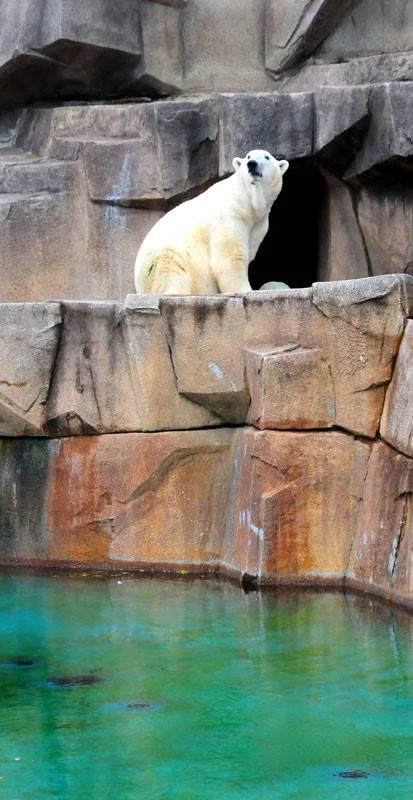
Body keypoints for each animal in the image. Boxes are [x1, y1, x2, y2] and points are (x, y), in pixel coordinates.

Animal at [134, 149, 289, 295]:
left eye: (267, 157)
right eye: (248, 157)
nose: (252, 164)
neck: (246, 201)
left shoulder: (258, 224)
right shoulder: (228, 215)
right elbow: (230, 257)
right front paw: (246, 290)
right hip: (163, 258)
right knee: (170, 268)